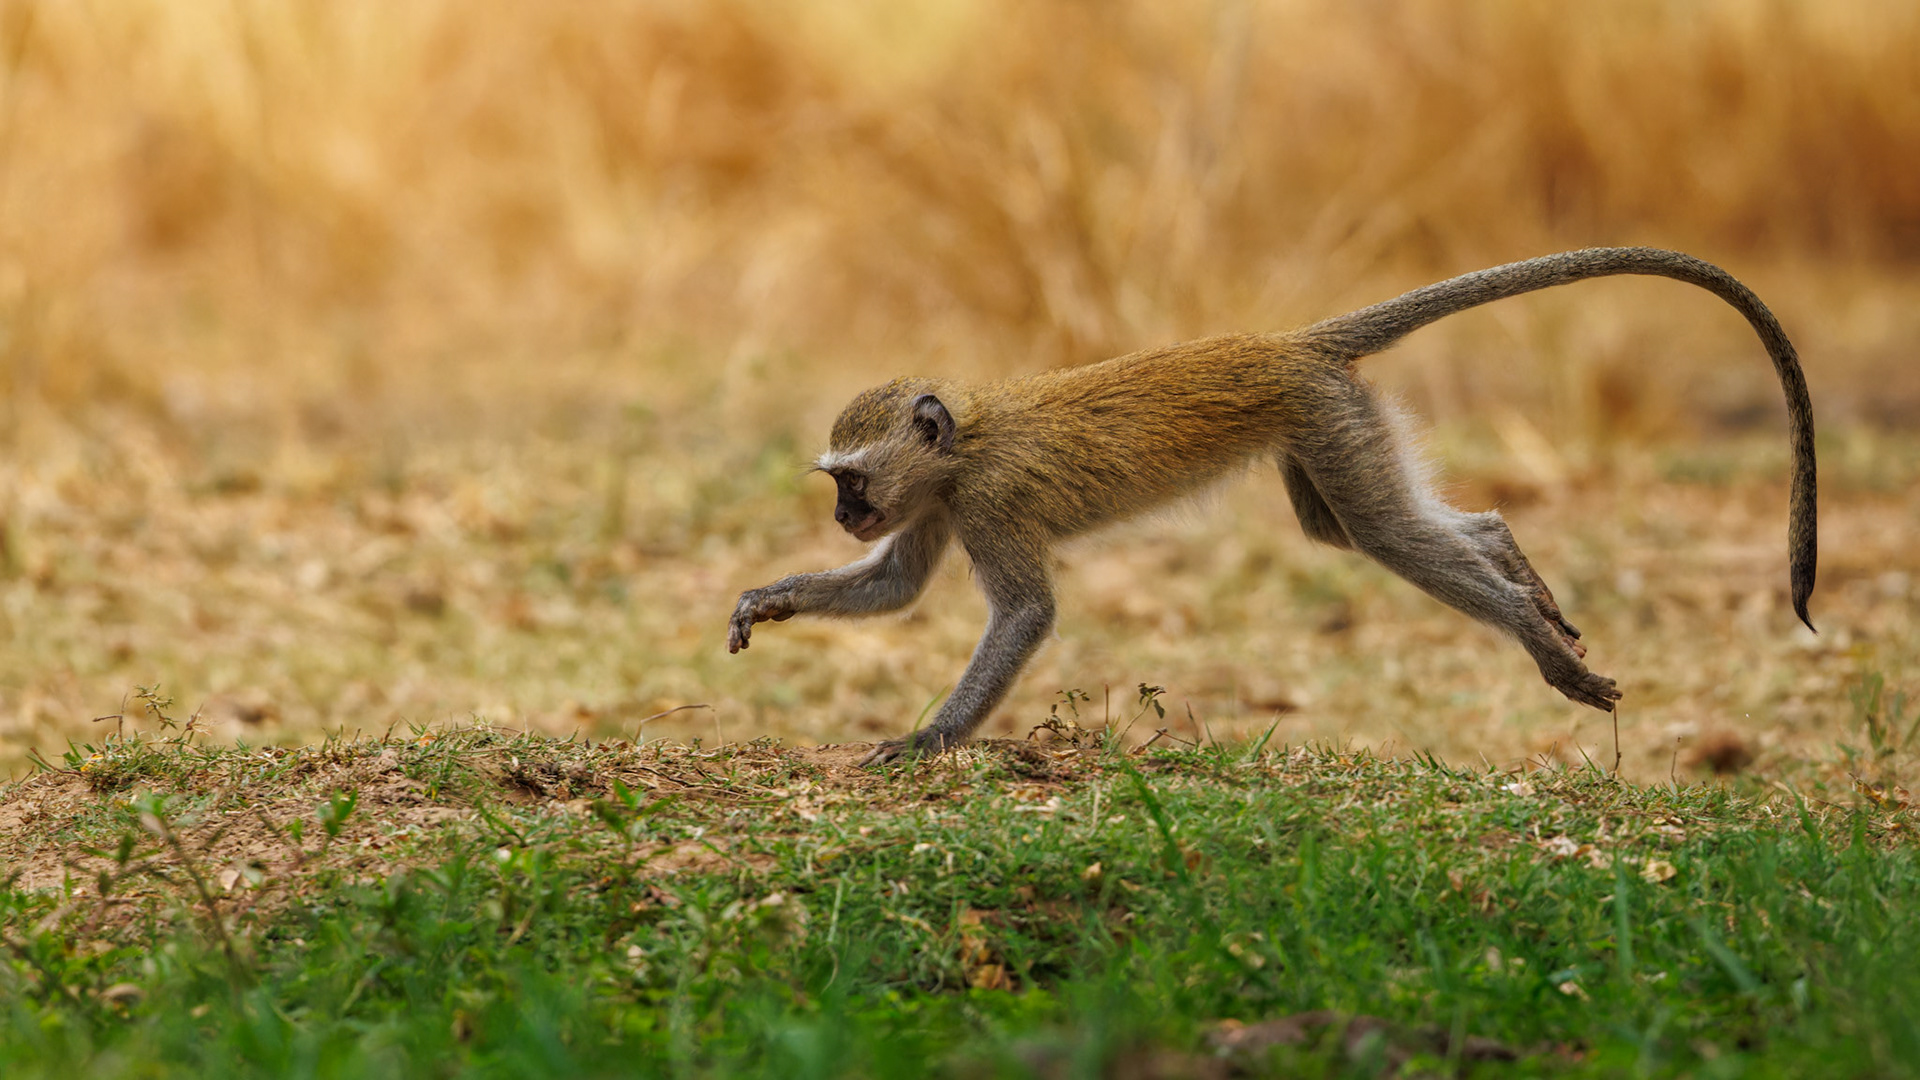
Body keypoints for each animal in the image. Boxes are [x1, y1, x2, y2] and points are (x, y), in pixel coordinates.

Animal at [726, 247, 1816, 766]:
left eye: (849, 481)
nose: (844, 520)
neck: (961, 447)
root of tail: (1289, 343)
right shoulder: (939, 507)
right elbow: (896, 591)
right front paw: (772, 600)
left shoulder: (986, 505)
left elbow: (1026, 613)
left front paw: (928, 741)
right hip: (1332, 420)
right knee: (1365, 526)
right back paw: (1514, 567)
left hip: (1323, 414)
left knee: (1377, 531)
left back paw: (1527, 629)